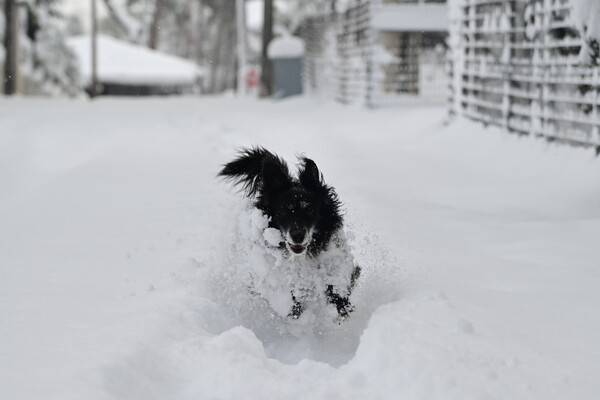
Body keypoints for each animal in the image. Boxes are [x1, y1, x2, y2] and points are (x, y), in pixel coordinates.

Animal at [220, 147, 360, 318]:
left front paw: (340, 306)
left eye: (310, 209)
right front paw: (295, 312)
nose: (298, 236)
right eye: (283, 211)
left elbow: (337, 280)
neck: (301, 258)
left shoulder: (336, 259)